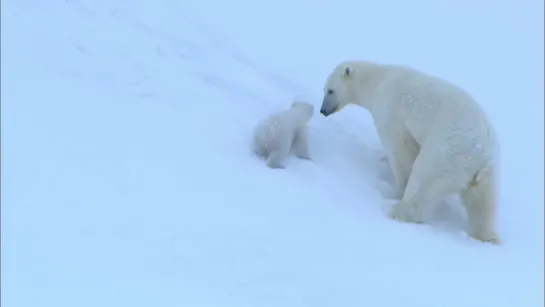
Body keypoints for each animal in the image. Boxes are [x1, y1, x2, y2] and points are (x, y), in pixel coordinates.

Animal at [320, 60, 500, 245]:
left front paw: (397, 190)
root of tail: (480, 155)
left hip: (445, 152)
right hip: (487, 174)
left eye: (330, 90)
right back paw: (486, 236)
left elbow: (401, 151)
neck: (378, 80)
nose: (322, 110)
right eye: (325, 89)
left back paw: (393, 208)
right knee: (483, 205)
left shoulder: (391, 112)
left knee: (423, 182)